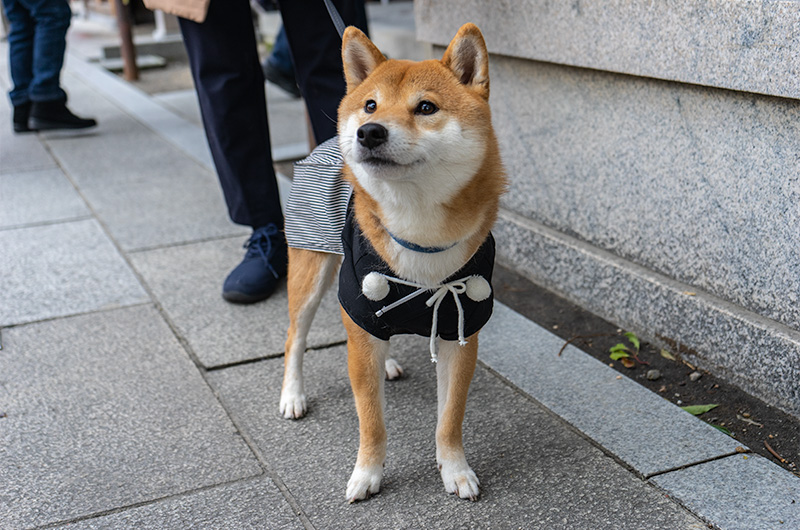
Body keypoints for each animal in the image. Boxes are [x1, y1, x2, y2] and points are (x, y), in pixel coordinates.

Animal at [282, 22, 506, 502]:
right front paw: (367, 474)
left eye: (426, 107)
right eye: (370, 105)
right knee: (295, 337)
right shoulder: (360, 301)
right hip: (312, 271)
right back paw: (292, 395)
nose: (369, 131)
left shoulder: (459, 327)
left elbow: (450, 419)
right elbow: (371, 421)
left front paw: (455, 469)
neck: (420, 234)